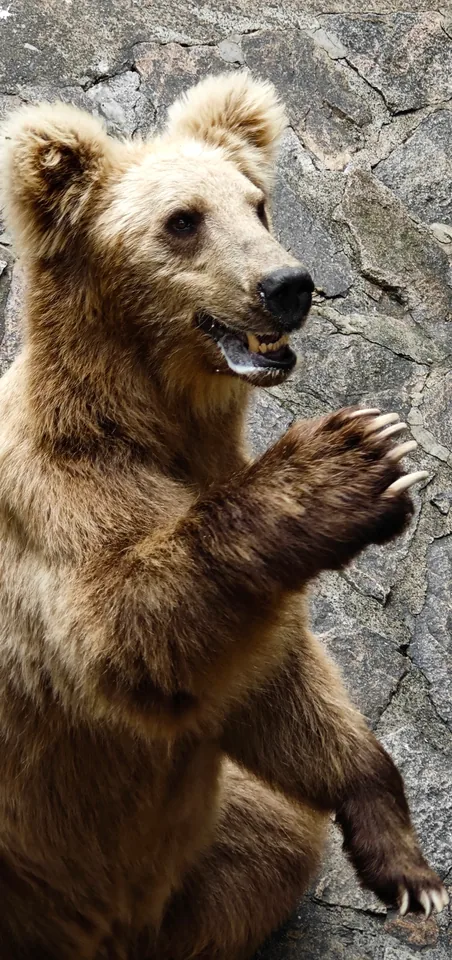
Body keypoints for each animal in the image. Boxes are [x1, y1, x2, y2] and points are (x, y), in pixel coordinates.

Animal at [0, 71, 448, 960]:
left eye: (258, 203)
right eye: (183, 219)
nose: (289, 285)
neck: (146, 425)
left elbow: (271, 684)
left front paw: (410, 870)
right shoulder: (51, 510)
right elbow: (122, 632)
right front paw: (360, 457)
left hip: (204, 841)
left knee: (272, 841)